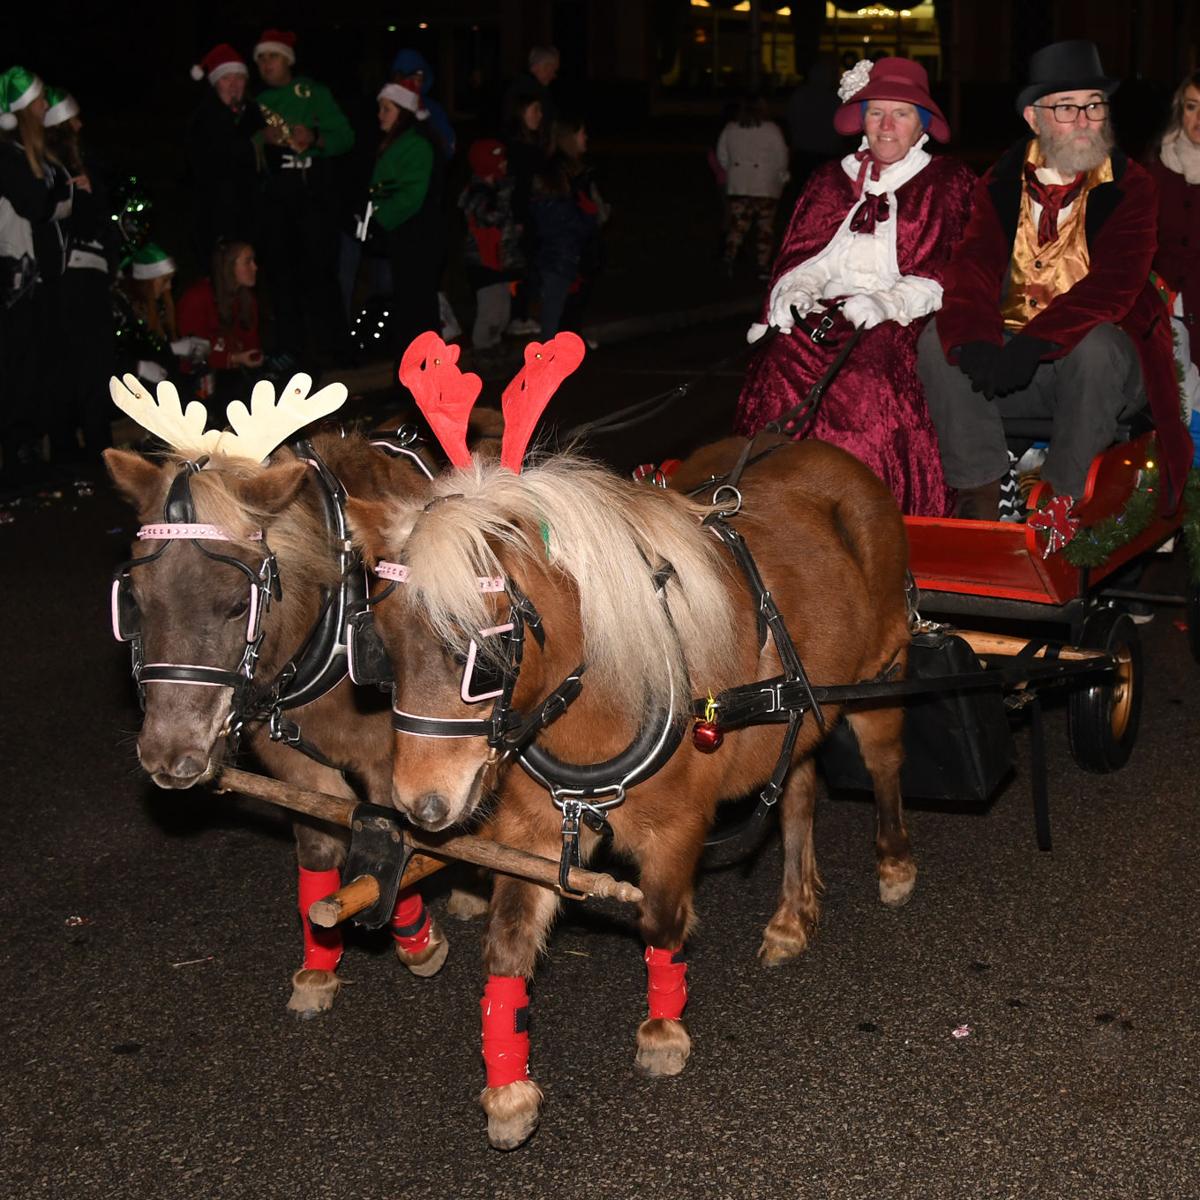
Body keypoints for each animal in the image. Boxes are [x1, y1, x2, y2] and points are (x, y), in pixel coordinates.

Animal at [103, 374, 448, 1012]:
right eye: (133, 598)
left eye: (237, 604)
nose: (169, 756)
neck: (334, 618)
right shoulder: (290, 762)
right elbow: (318, 849)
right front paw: (320, 963)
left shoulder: (397, 756)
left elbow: (396, 837)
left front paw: (415, 936)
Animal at [348, 331, 916, 1152]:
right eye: (379, 645)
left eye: (485, 655)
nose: (423, 805)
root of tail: (831, 453)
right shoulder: (533, 829)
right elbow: (509, 944)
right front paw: (508, 1088)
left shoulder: (678, 828)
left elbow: (661, 918)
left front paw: (663, 1028)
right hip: (797, 710)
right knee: (799, 793)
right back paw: (790, 913)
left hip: (882, 671)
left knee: (883, 763)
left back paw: (894, 862)